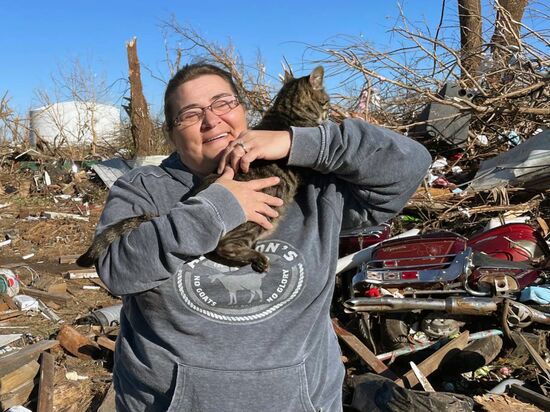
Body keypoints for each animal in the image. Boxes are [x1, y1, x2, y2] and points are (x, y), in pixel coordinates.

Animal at [75, 66, 330, 272]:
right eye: (326, 101)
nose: (330, 108)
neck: (286, 111)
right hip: (254, 220)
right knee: (223, 246)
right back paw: (257, 258)